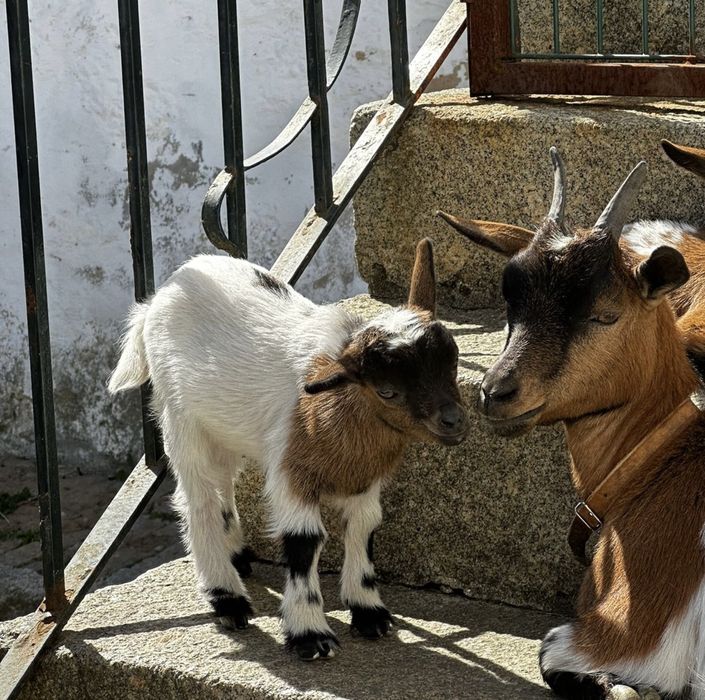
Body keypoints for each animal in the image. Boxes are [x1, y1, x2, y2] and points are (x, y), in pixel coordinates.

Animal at [108, 239, 468, 661]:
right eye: (387, 391)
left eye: (452, 364)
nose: (454, 421)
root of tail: (157, 299)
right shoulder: (291, 474)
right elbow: (303, 542)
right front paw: (309, 633)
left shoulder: (364, 478)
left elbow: (365, 526)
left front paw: (369, 611)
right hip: (181, 416)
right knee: (198, 499)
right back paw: (227, 597)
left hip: (223, 426)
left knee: (222, 480)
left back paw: (236, 553)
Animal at [438, 147, 705, 699]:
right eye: (511, 301)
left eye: (606, 314)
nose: (496, 391)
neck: (656, 457)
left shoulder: (632, 631)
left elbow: (552, 652)